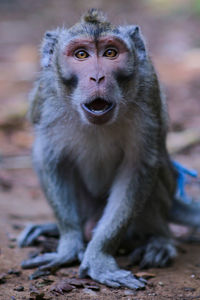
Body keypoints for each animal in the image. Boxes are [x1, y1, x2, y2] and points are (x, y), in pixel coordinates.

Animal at [18, 9, 199, 290]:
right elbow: (50, 161)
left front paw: (98, 257)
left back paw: (159, 240)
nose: (97, 77)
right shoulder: (47, 98)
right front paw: (67, 246)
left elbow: (138, 168)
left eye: (110, 53)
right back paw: (59, 229)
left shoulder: (148, 92)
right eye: (81, 55)